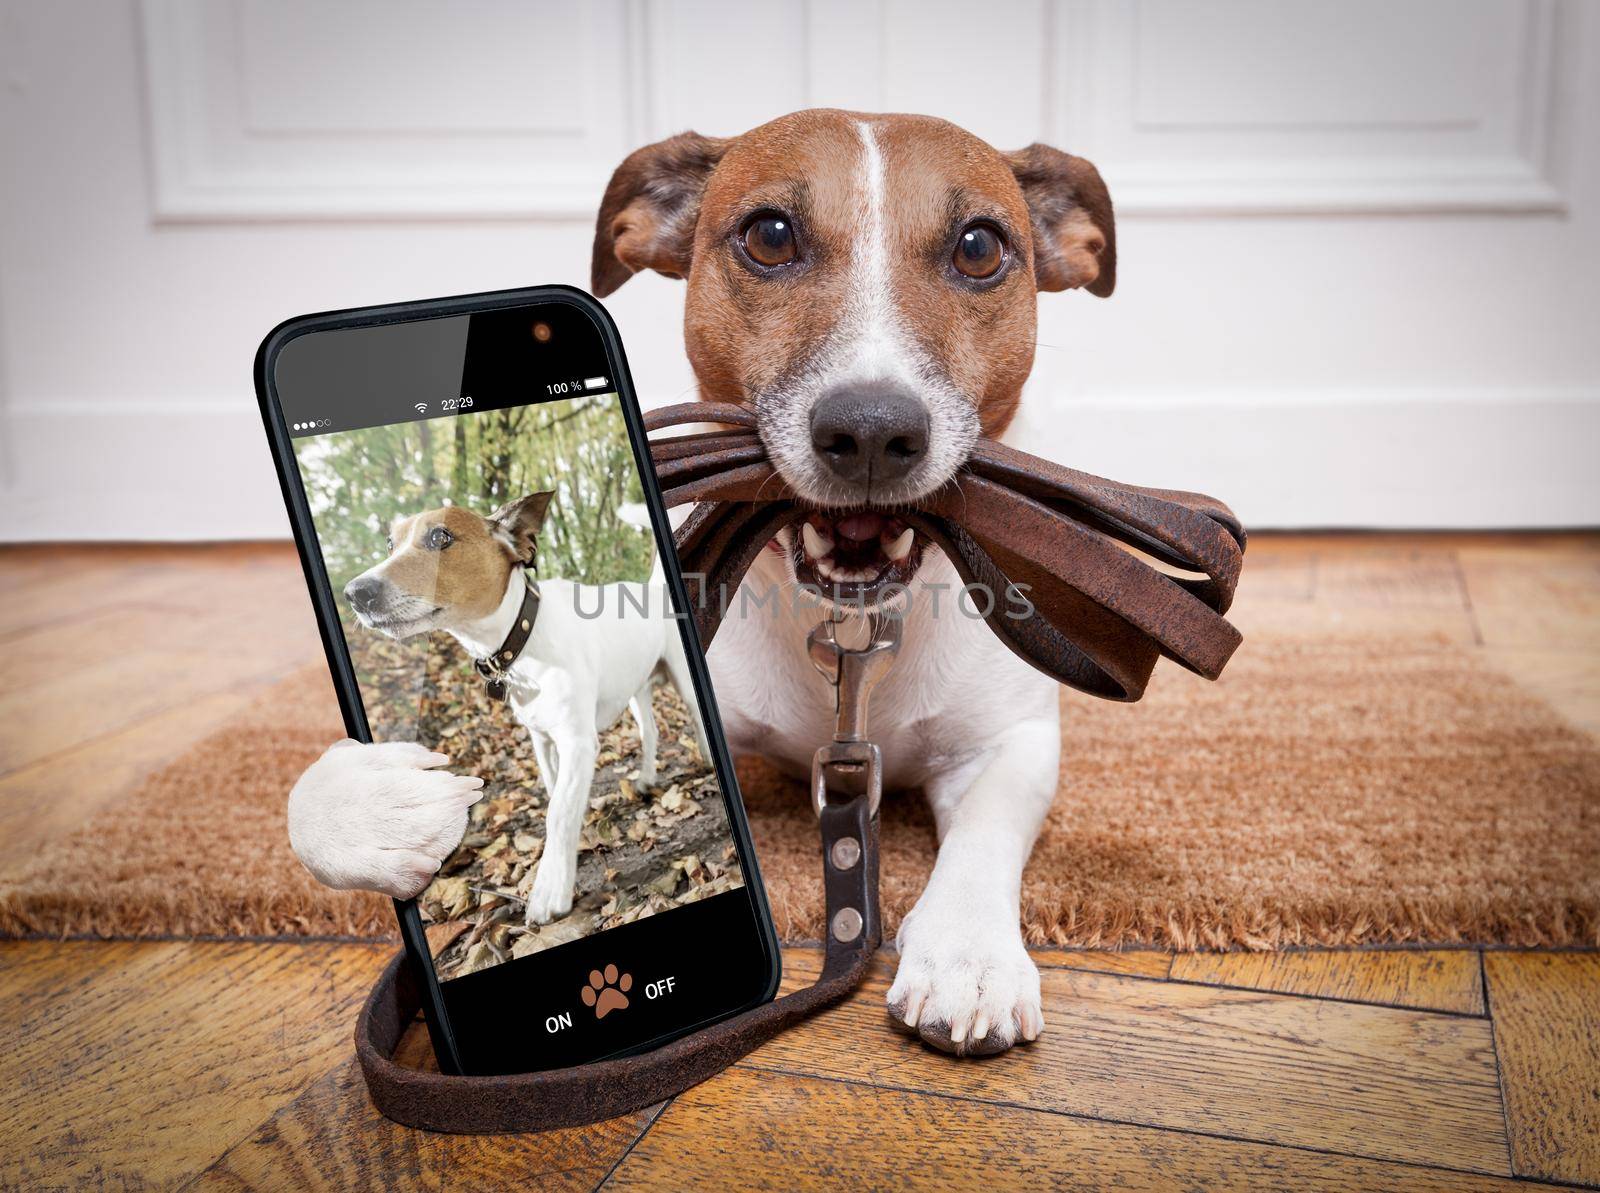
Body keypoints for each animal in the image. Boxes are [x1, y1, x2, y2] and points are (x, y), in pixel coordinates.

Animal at [288, 111, 1113, 1055]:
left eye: (979, 246)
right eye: (770, 235)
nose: (872, 430)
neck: (849, 629)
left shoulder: (1011, 743)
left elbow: (982, 833)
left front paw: (967, 952)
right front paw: (380, 811)